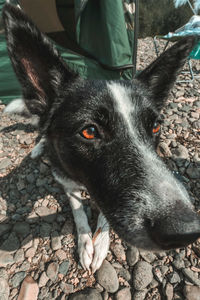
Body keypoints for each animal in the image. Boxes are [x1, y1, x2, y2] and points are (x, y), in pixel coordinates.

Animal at [2, 3, 200, 274]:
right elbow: (78, 212)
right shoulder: (64, 180)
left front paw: (100, 243)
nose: (184, 231)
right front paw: (86, 244)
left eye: (155, 127)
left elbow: (104, 217)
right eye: (90, 131)